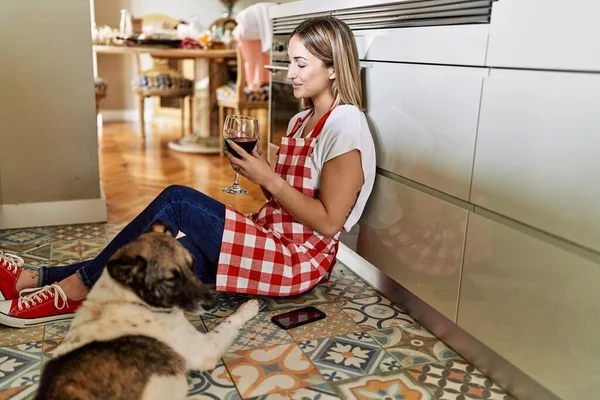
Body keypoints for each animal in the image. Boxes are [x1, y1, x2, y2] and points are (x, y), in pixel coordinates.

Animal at [34, 222, 260, 400]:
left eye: (192, 265)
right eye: (170, 279)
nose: (213, 302)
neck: (131, 300)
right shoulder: (205, 348)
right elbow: (230, 320)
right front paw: (248, 307)